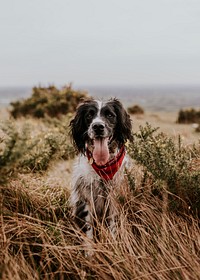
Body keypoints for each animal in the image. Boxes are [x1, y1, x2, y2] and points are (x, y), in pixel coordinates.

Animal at [69, 98, 133, 245]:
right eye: (89, 115)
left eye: (110, 115)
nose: (98, 127)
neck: (103, 166)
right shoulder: (84, 199)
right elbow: (88, 233)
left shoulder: (114, 199)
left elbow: (113, 226)